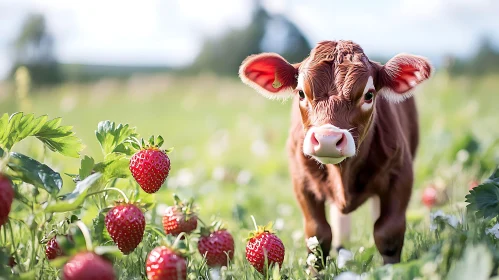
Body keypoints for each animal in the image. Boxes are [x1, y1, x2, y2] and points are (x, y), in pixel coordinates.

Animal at [239, 39, 434, 264]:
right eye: (301, 93)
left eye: (369, 95)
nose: (327, 139)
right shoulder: (301, 181)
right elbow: (317, 235)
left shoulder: (401, 174)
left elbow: (387, 232)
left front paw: (390, 268)